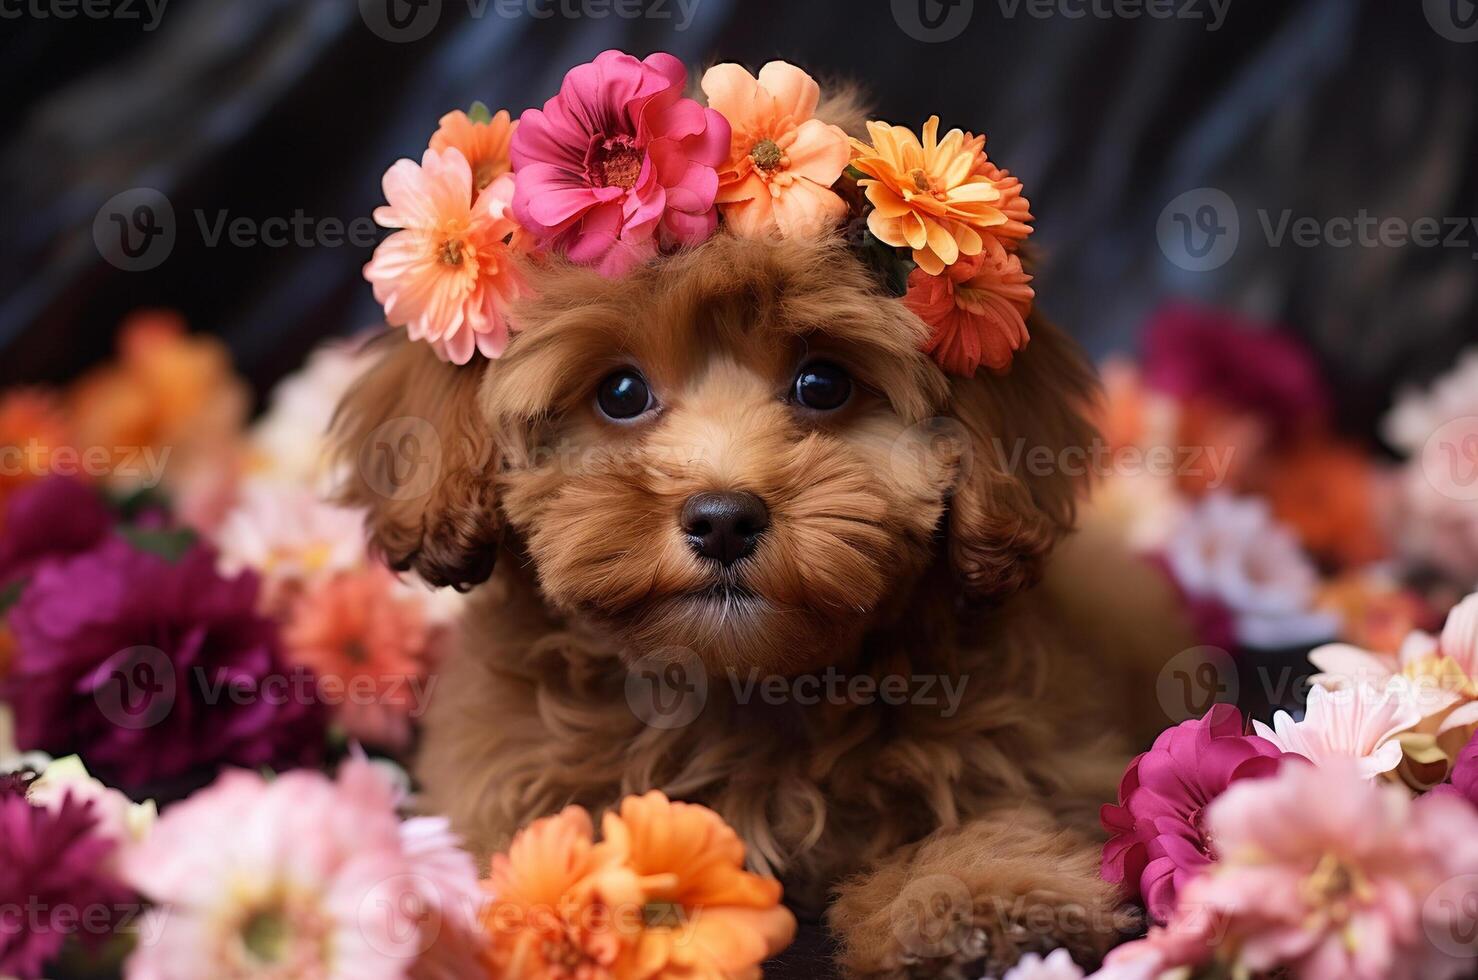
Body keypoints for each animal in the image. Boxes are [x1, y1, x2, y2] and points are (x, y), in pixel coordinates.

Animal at [335, 227, 1188, 975]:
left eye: (823, 384)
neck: (740, 685)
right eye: (620, 392)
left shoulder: (1037, 739)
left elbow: (1009, 807)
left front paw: (985, 893)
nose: (723, 519)